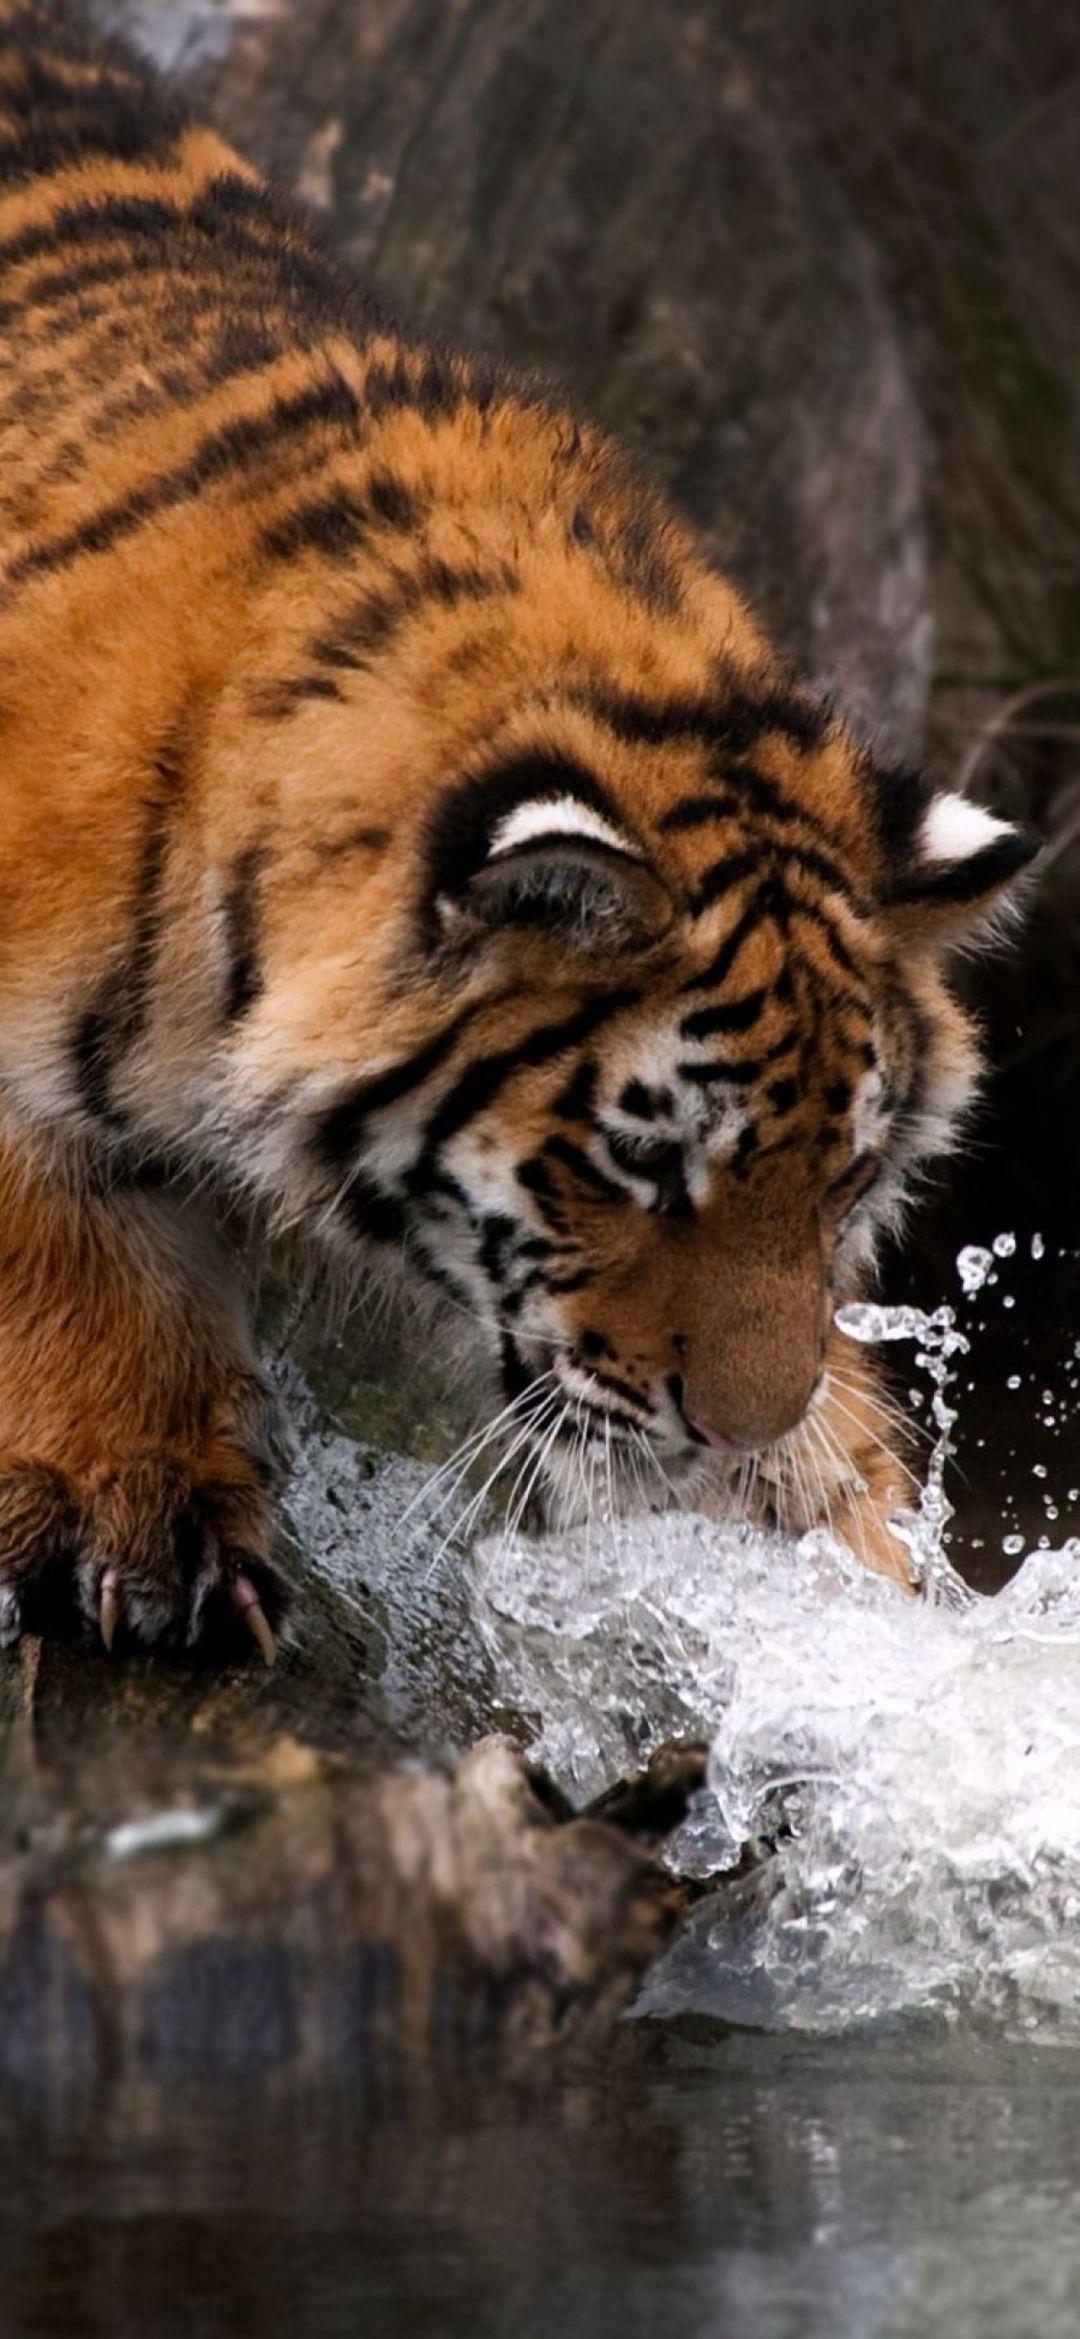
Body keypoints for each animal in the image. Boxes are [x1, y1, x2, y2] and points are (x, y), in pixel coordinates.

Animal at [0, 0, 1035, 1663]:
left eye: (846, 1177)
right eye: (644, 1166)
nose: (743, 1426)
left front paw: (869, 1574)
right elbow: (70, 1246)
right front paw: (138, 1508)